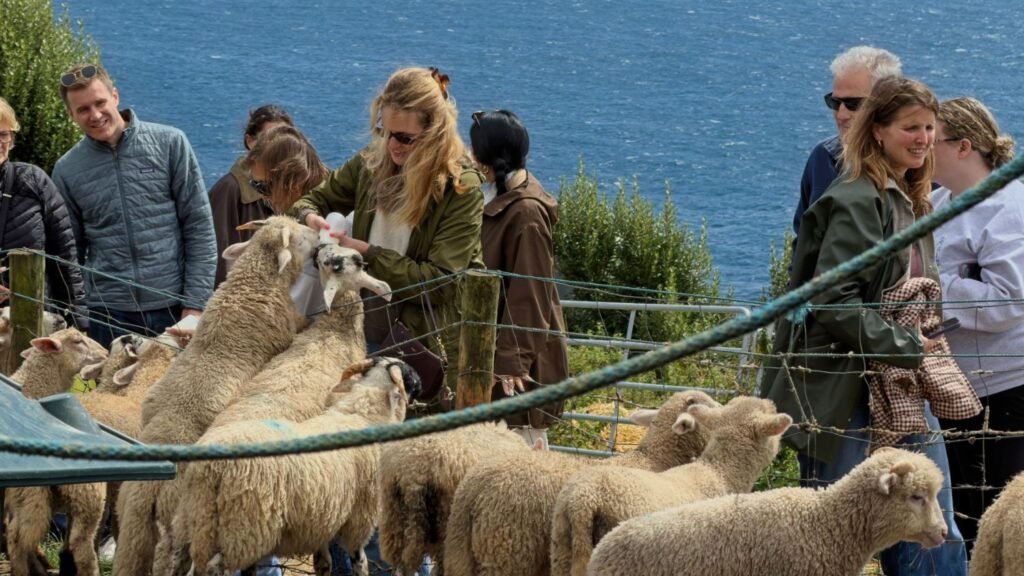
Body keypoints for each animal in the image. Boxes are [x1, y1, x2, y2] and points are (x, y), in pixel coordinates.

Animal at [113, 216, 320, 576]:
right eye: (298, 238)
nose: (320, 234)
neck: (253, 281)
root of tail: (146, 488)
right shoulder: (289, 328)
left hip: (132, 528)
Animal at [178, 357, 418, 576]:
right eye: (409, 374)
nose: (422, 382)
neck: (364, 418)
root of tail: (211, 467)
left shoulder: (323, 521)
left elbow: (323, 563)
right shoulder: (358, 521)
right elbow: (360, 562)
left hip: (203, 521)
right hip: (242, 527)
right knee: (216, 567)